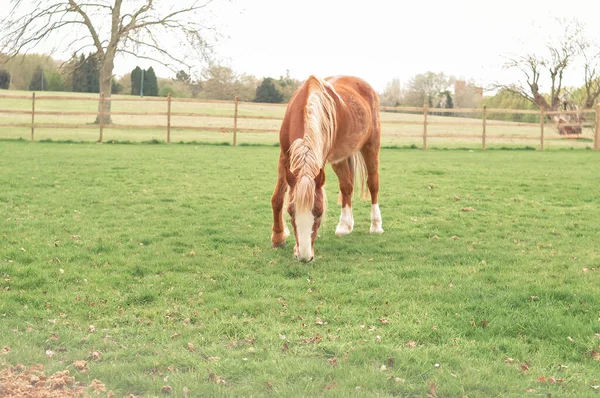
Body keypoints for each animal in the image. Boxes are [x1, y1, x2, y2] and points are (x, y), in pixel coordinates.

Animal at [270, 75, 382, 262]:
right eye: (291, 212)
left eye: (319, 213)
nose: (304, 256)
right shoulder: (284, 156)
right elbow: (278, 198)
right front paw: (278, 238)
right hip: (340, 158)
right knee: (346, 186)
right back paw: (345, 225)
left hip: (371, 146)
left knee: (373, 184)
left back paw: (376, 225)